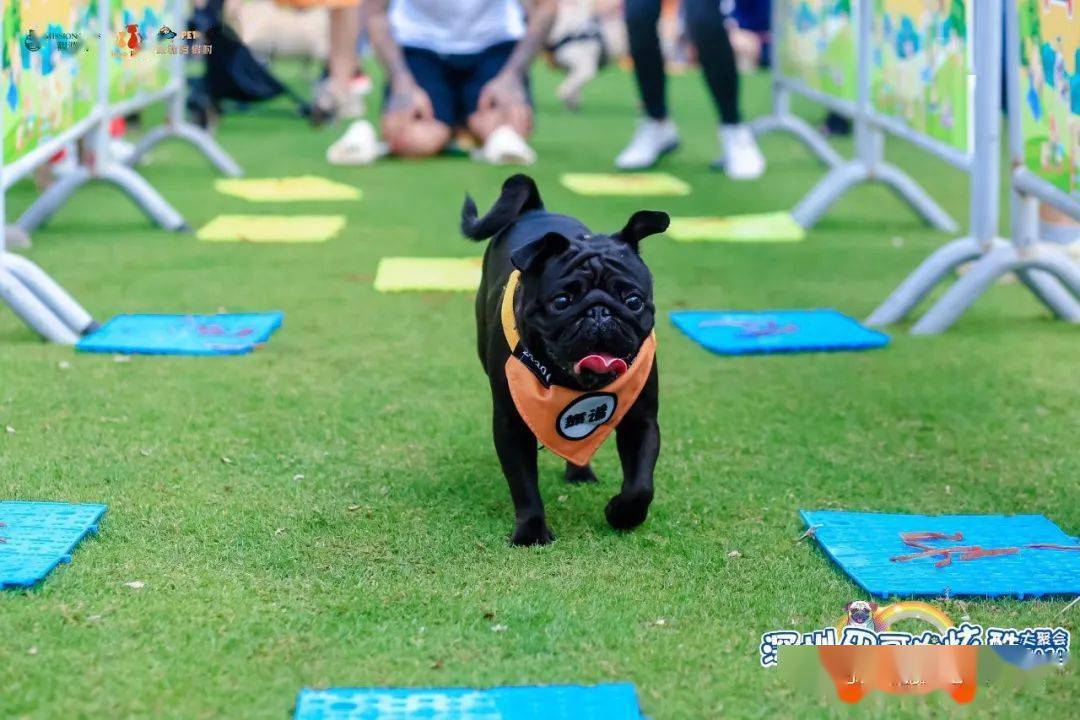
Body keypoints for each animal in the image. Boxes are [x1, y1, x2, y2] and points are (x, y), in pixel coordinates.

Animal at [457, 174, 665, 546]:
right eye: (562, 301)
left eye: (634, 301)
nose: (599, 312)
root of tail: (536, 209)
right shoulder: (511, 426)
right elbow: (524, 485)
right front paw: (531, 530)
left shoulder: (641, 420)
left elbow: (641, 485)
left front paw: (621, 513)